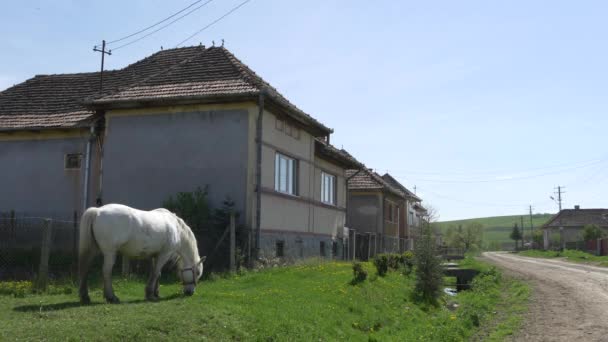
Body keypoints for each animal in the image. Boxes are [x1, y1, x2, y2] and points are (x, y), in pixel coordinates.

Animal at [77, 204, 205, 304]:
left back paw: (85, 297)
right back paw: (111, 297)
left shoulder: (154, 255)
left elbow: (156, 274)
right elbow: (156, 273)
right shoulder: (164, 254)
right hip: (110, 253)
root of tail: (98, 211)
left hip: (93, 250)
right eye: (197, 272)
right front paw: (150, 294)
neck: (176, 227)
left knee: (85, 269)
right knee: (106, 272)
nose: (190, 292)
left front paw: (155, 293)